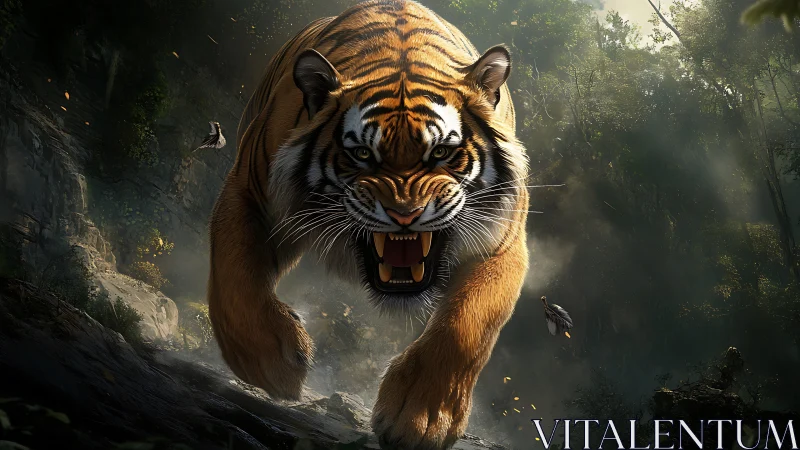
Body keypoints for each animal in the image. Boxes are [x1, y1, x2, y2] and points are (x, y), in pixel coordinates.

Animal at [207, 0, 530, 448]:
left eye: (441, 152)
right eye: (362, 154)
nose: (405, 214)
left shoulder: (503, 244)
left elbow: (466, 326)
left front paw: (422, 417)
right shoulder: (249, 191)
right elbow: (235, 277)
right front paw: (273, 364)